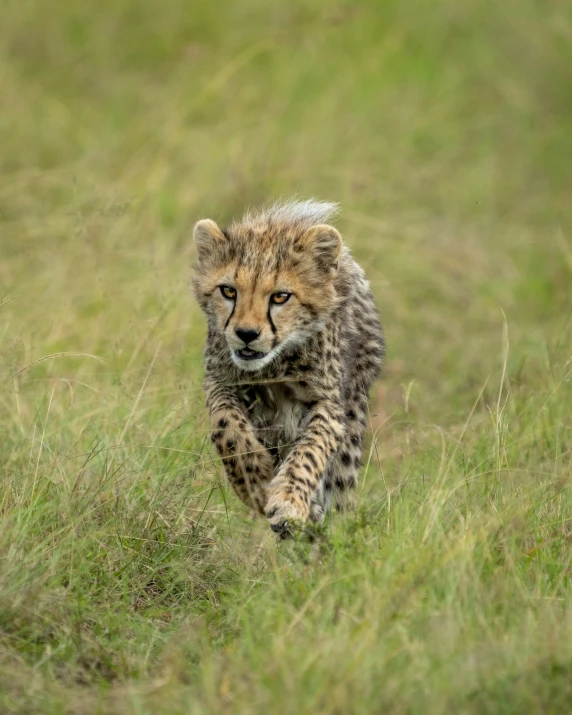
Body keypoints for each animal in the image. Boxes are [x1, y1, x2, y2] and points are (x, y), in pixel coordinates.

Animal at [192, 199, 384, 536]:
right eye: (228, 291)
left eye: (280, 296)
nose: (246, 334)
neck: (274, 366)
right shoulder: (220, 381)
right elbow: (227, 428)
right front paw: (255, 482)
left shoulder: (328, 403)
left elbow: (310, 451)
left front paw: (289, 501)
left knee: (338, 489)